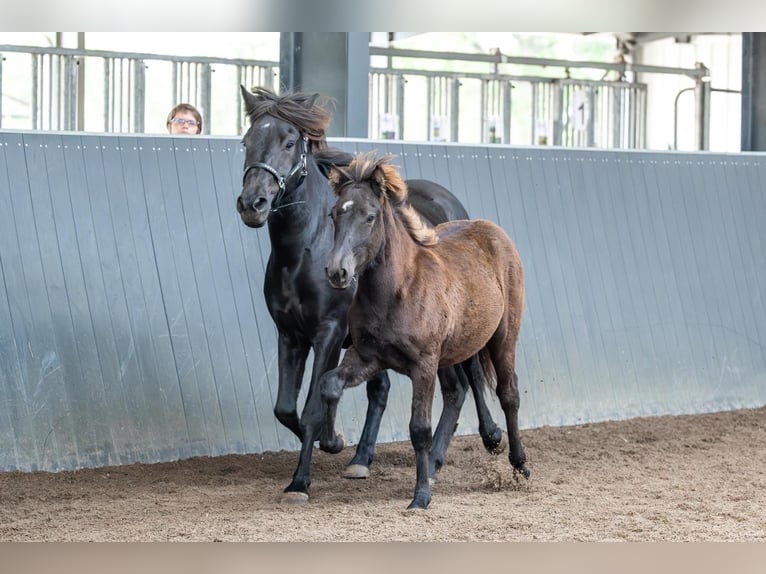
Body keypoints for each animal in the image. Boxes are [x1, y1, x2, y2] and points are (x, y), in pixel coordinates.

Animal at [236, 85, 504, 503]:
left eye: (290, 141)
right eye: (247, 142)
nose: (253, 204)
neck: (304, 251)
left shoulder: (329, 333)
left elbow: (312, 407)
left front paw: (303, 478)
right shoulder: (291, 334)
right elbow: (286, 409)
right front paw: (334, 443)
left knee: (467, 379)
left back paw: (483, 438)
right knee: (394, 389)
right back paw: (365, 458)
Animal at [320, 152, 530, 509]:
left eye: (370, 217)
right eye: (335, 213)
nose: (338, 272)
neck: (398, 290)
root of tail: (491, 229)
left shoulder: (423, 365)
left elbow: (419, 428)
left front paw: (420, 498)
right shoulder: (367, 357)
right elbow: (330, 385)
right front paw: (333, 441)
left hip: (502, 338)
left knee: (508, 393)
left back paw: (518, 463)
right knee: (457, 391)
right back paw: (434, 466)